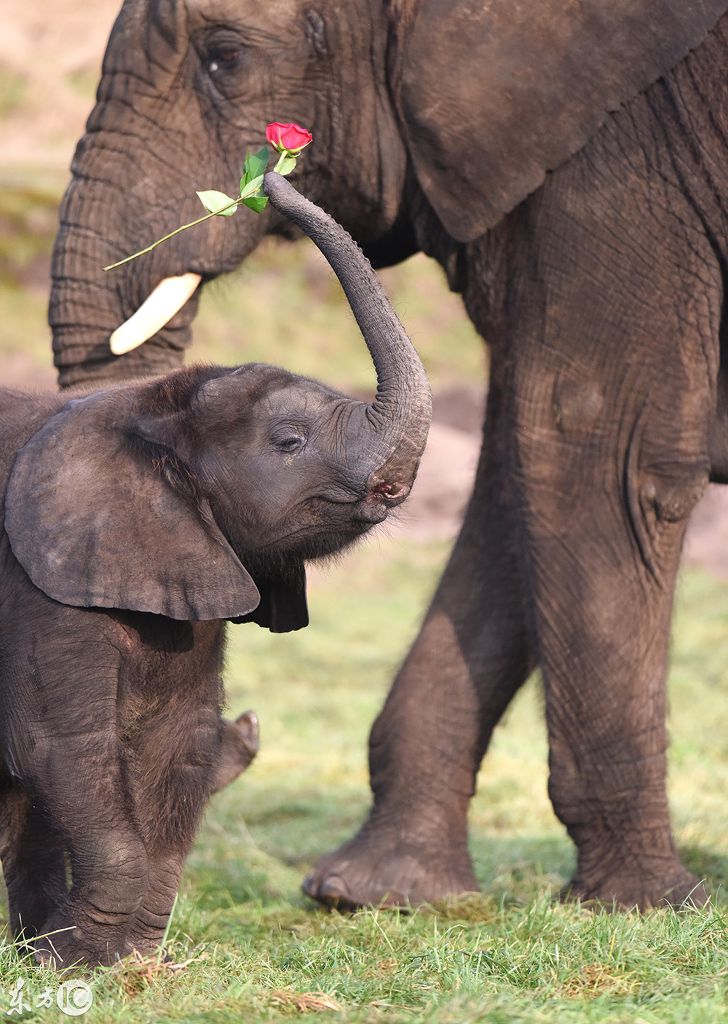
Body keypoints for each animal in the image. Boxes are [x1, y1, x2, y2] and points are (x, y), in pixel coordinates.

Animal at [0, 172, 430, 962]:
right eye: (289, 441)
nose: (274, 176)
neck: (147, 412)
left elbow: (180, 746)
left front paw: (126, 962)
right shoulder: (40, 587)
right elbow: (60, 749)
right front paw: (71, 963)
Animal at [49, 2, 728, 913]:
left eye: (226, 60)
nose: (276, 172)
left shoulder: (628, 158)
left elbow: (598, 451)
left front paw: (645, 905)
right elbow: (518, 471)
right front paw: (373, 895)